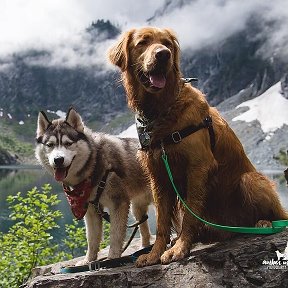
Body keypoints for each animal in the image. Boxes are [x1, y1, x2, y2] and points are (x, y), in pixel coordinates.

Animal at [35, 108, 153, 266]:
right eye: (50, 145)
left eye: (68, 143)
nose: (58, 160)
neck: (95, 162)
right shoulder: (91, 209)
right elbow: (92, 238)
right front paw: (88, 260)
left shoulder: (118, 203)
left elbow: (115, 235)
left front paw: (112, 258)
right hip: (137, 208)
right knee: (144, 228)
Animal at [108, 25, 288, 266]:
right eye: (143, 42)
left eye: (167, 43)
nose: (163, 54)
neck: (162, 110)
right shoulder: (158, 175)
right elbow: (163, 221)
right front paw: (155, 252)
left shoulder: (198, 166)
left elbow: (190, 214)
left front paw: (180, 248)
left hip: (251, 180)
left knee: (277, 216)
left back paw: (262, 223)